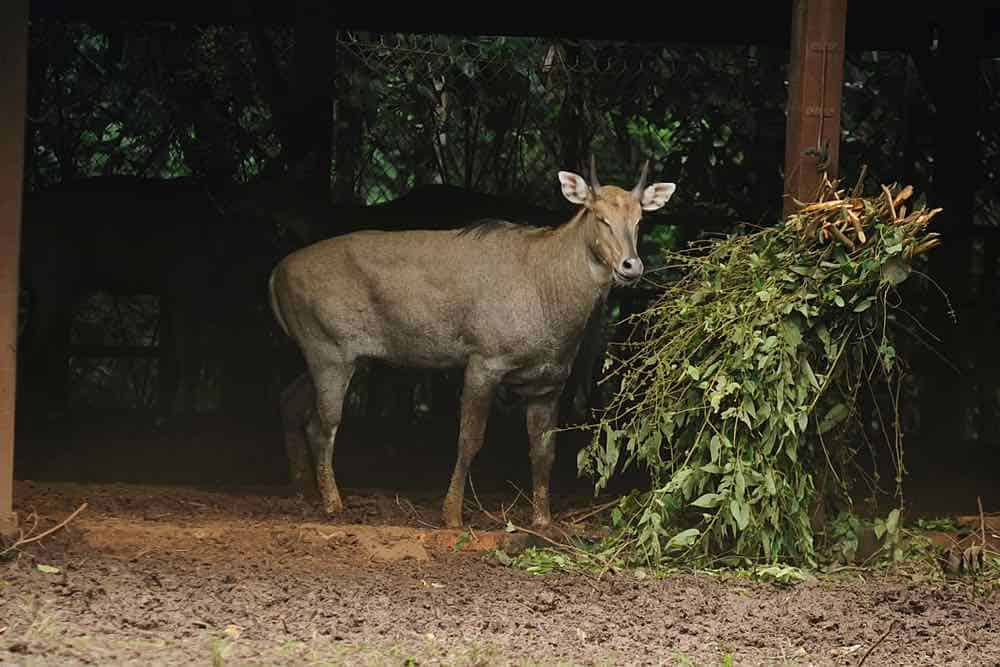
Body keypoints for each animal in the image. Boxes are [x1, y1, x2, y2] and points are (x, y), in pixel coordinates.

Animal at [266, 159, 676, 528]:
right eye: (598, 216)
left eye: (639, 220)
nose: (631, 266)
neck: (549, 297)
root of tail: (274, 276)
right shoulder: (484, 360)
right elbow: (470, 439)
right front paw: (451, 515)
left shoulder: (551, 380)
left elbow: (544, 449)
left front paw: (543, 519)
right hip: (329, 350)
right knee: (322, 424)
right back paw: (332, 503)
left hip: (338, 355)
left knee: (289, 401)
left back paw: (301, 489)